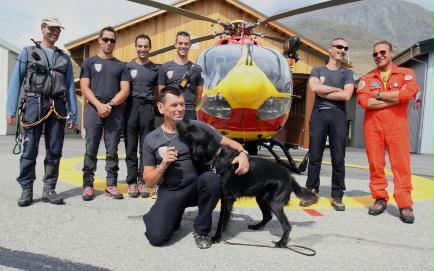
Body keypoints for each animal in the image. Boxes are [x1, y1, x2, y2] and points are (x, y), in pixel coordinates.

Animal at [175, 121, 316, 249]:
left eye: (188, 131)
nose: (177, 123)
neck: (217, 156)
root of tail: (290, 177)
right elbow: (225, 219)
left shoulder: (228, 198)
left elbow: (222, 220)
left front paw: (217, 237)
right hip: (262, 198)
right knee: (268, 216)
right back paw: (256, 226)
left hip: (275, 203)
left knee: (287, 226)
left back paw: (281, 243)